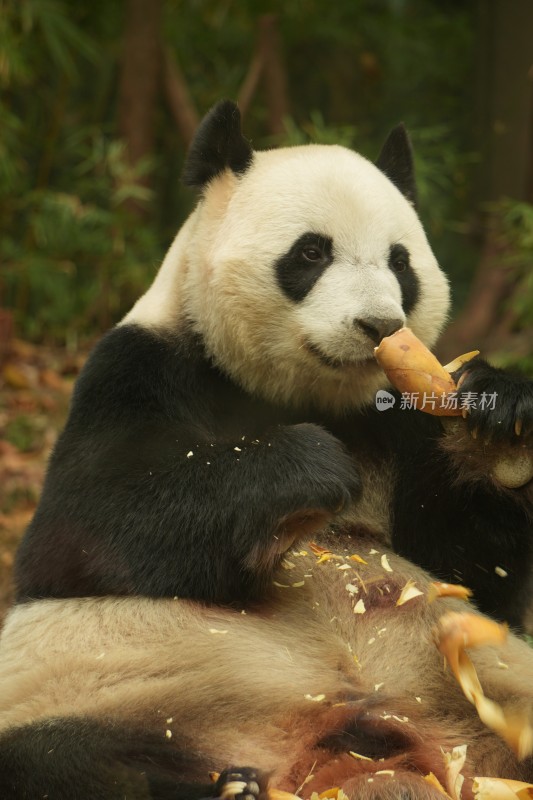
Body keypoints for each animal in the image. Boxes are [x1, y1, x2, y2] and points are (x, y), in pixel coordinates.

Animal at [0, 101, 528, 800]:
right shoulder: (141, 367)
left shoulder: (400, 419)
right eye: (311, 252)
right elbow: (87, 524)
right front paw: (310, 471)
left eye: (400, 262)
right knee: (58, 758)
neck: (302, 395)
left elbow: (473, 570)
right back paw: (226, 785)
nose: (379, 326)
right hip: (106, 693)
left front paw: (499, 421)